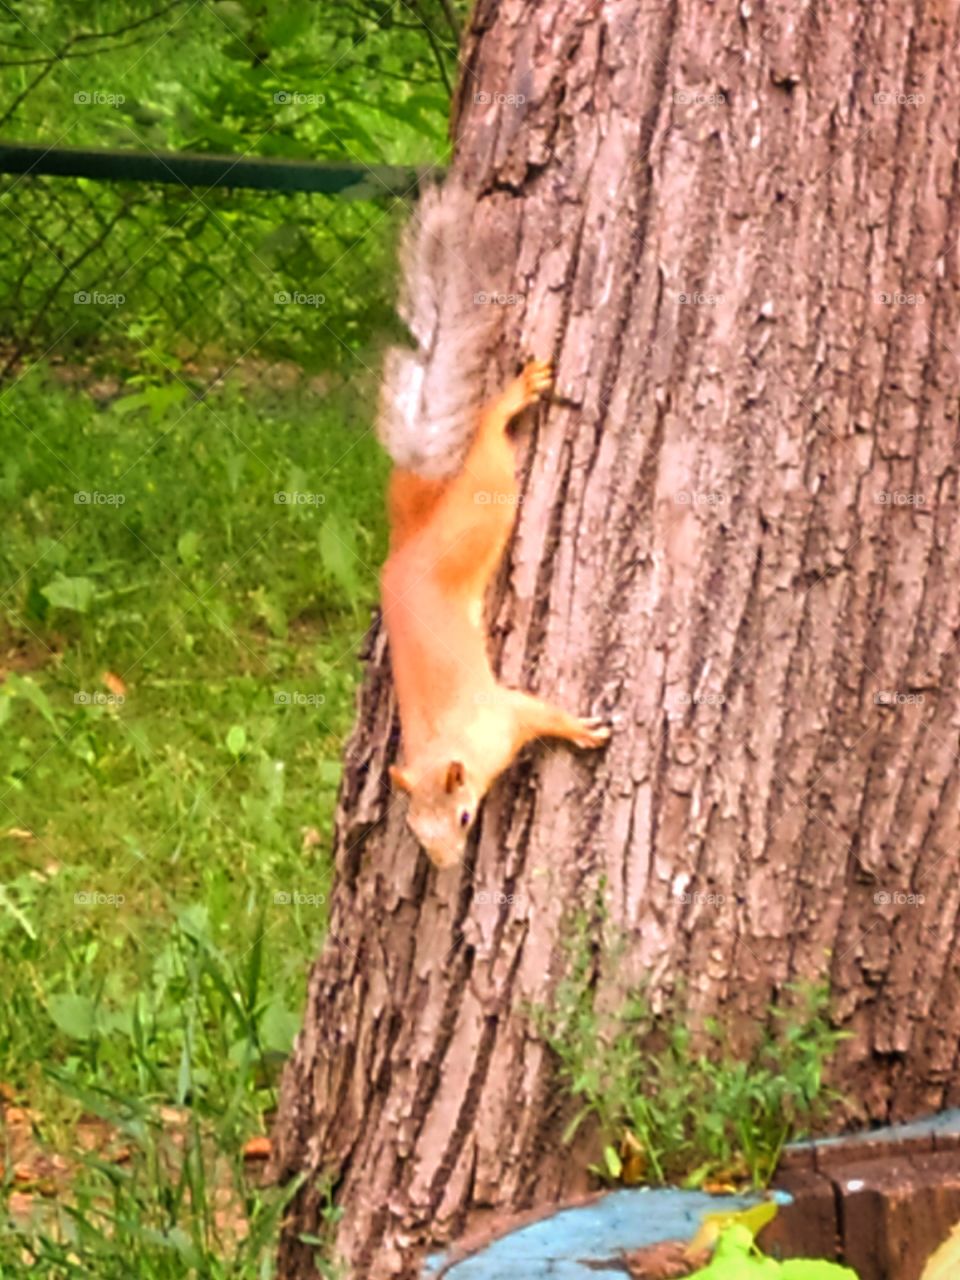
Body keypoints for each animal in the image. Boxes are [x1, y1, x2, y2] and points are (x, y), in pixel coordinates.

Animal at [378, 183, 611, 869]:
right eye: (416, 831)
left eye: (462, 816)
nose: (447, 865)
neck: (442, 744)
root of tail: (411, 535)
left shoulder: (502, 715)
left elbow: (538, 712)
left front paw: (579, 729)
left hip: (490, 483)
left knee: (488, 432)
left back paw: (514, 395)